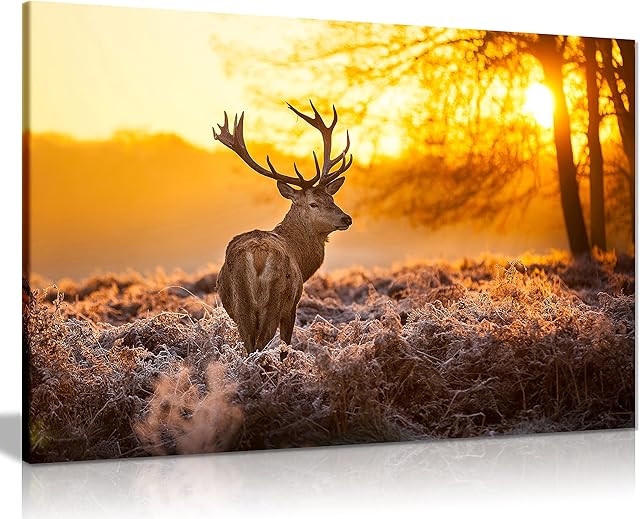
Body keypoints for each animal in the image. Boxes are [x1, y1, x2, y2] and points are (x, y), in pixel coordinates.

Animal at [212, 101, 353, 354]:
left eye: (332, 198)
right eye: (313, 203)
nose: (346, 219)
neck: (301, 259)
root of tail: (257, 255)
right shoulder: (292, 305)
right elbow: (286, 344)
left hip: (241, 305)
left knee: (249, 345)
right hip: (276, 300)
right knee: (262, 343)